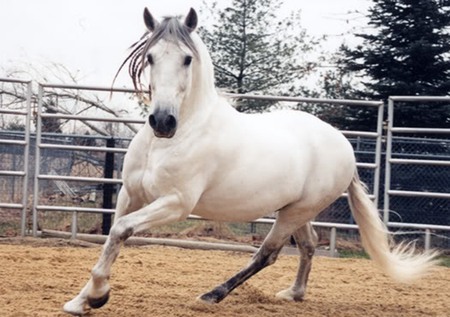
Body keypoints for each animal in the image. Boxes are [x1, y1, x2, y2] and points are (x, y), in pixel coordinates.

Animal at [63, 8, 436, 316]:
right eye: (151, 56)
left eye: (186, 59)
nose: (163, 121)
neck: (174, 138)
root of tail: (343, 146)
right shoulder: (131, 194)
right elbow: (112, 236)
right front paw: (82, 300)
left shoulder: (176, 204)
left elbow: (121, 231)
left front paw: (96, 296)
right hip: (295, 210)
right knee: (309, 245)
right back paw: (293, 294)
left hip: (294, 213)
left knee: (268, 253)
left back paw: (212, 295)